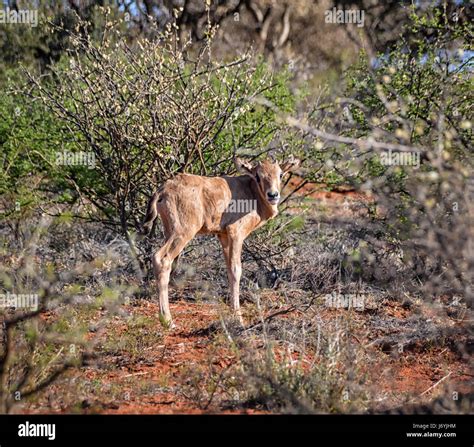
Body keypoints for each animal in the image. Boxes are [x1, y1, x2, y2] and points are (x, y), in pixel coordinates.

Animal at [141, 158, 300, 328]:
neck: (251, 190)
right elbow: (236, 270)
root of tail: (164, 189)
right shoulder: (236, 234)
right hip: (183, 232)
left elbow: (229, 269)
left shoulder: (223, 237)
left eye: (280, 174)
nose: (273, 195)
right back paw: (168, 320)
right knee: (162, 259)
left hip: (168, 231)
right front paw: (238, 318)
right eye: (257, 175)